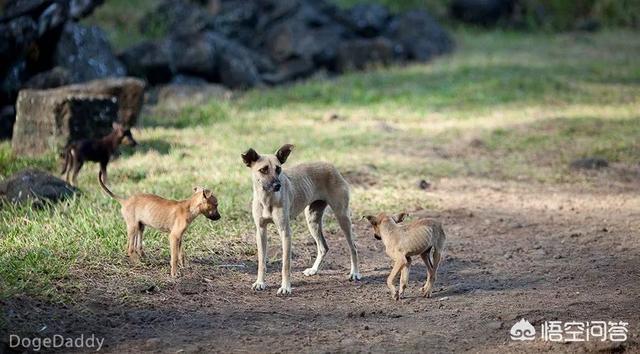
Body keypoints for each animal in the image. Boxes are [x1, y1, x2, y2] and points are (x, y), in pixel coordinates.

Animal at [241, 144, 360, 296]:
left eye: (278, 169)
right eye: (263, 170)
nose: (277, 185)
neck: (267, 199)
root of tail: (331, 167)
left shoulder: (285, 232)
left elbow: (286, 264)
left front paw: (285, 287)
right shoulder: (261, 231)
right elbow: (261, 262)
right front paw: (260, 282)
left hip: (342, 217)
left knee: (353, 247)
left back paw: (355, 273)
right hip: (312, 220)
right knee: (323, 247)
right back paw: (314, 270)